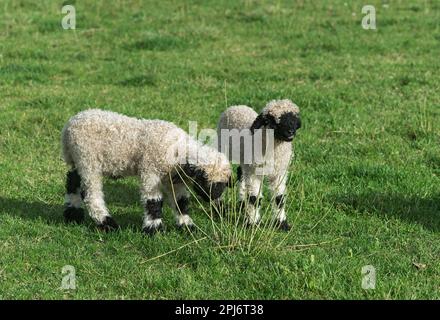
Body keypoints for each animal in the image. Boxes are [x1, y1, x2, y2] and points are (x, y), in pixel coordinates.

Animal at [64, 109, 234, 234]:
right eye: (205, 180)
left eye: (224, 183)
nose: (213, 197)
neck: (176, 149)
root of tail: (69, 126)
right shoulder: (150, 171)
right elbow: (153, 201)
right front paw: (154, 229)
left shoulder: (173, 179)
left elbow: (181, 201)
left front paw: (187, 226)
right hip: (88, 160)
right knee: (91, 195)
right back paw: (108, 223)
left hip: (77, 161)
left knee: (72, 182)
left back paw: (73, 215)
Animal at [217, 99, 300, 230]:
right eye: (271, 121)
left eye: (294, 118)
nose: (290, 132)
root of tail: (236, 106)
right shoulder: (255, 172)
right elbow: (254, 199)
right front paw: (253, 224)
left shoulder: (279, 173)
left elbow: (279, 198)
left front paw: (282, 223)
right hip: (224, 148)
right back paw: (220, 207)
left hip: (245, 161)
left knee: (241, 173)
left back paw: (242, 203)